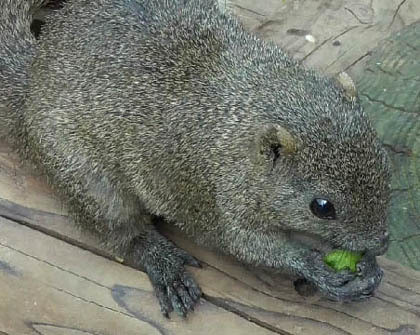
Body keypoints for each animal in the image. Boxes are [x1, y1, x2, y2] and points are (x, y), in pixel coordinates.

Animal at [1, 0, 392, 318]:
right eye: (322, 206)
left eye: (385, 165)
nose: (383, 243)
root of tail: (31, 82)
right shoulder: (215, 198)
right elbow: (248, 245)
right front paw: (314, 268)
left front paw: (368, 266)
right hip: (84, 175)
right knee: (120, 232)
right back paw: (164, 264)